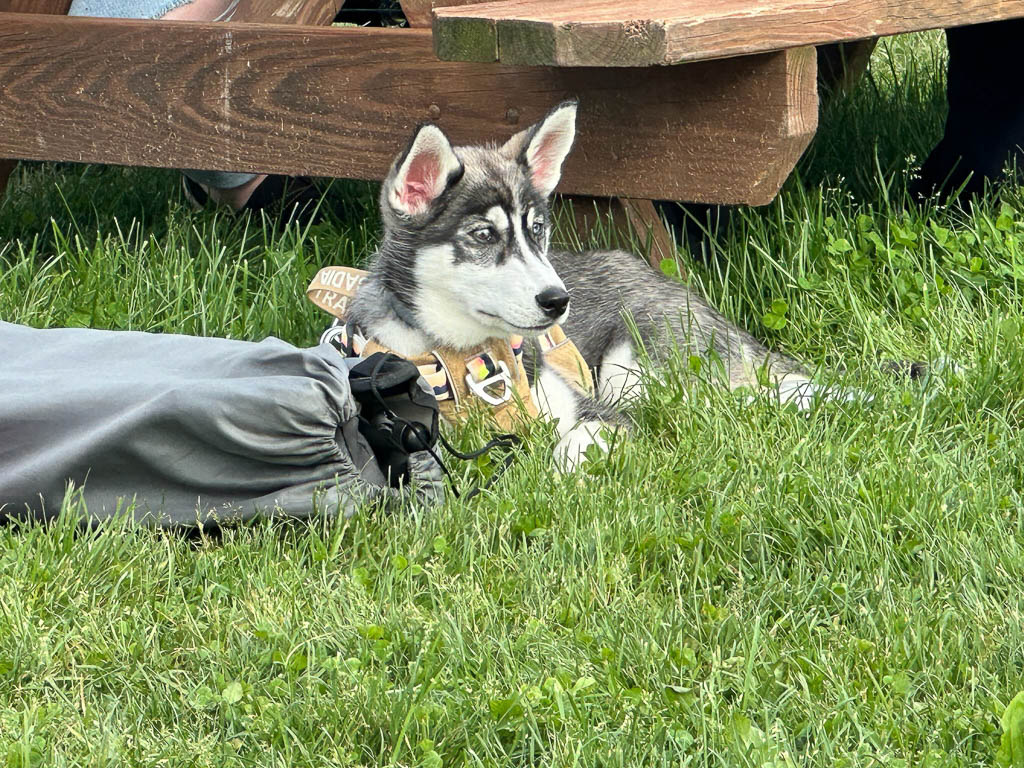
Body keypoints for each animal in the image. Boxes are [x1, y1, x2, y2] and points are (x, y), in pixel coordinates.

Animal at [348, 102, 827, 468]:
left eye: (538, 229)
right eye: (483, 235)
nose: (558, 301)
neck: (468, 359)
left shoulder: (595, 410)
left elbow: (574, 443)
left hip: (637, 367)